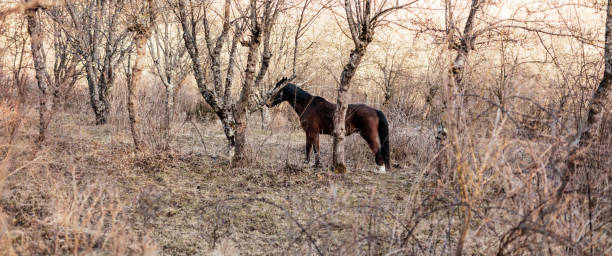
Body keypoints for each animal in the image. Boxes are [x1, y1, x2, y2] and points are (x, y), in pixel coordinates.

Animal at [264, 78, 392, 174]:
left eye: (278, 89)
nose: (267, 103)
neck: (308, 105)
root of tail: (375, 110)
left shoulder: (312, 132)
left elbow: (312, 148)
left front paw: (312, 165)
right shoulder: (312, 133)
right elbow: (312, 148)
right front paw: (312, 164)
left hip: (369, 135)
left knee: (377, 150)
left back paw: (380, 170)